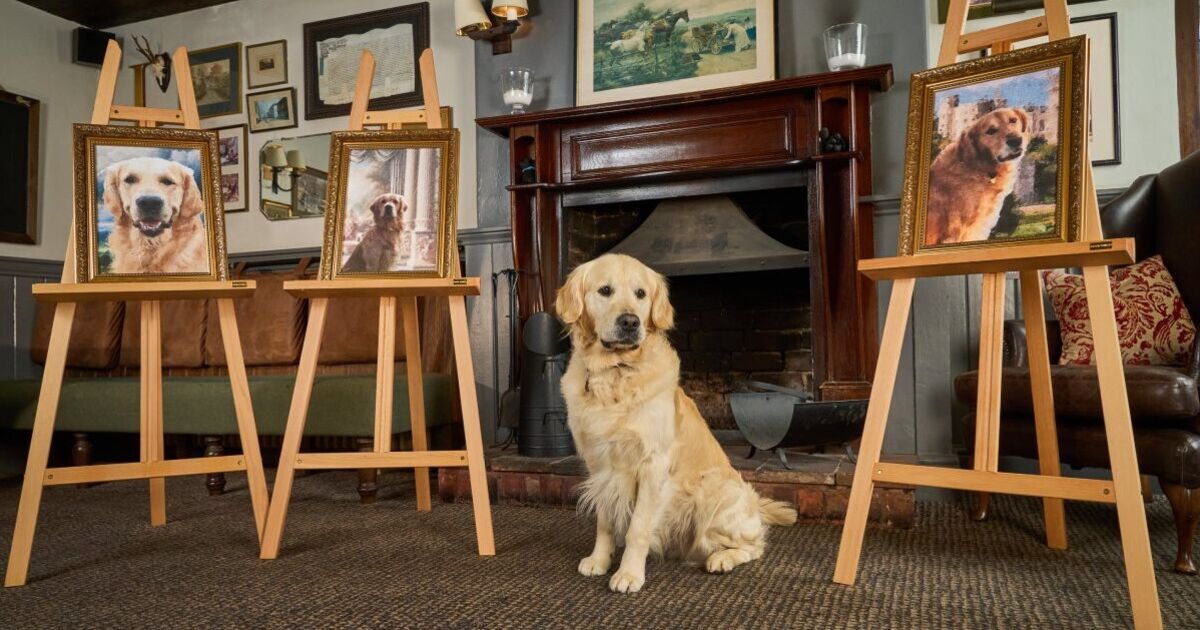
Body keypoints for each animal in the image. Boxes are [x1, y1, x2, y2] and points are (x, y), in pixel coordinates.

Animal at [554, 253, 796, 592]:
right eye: (605, 290)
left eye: (641, 294)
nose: (630, 322)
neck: (616, 373)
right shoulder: (599, 465)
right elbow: (605, 520)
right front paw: (599, 560)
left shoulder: (653, 464)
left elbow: (637, 528)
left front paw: (629, 574)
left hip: (710, 494)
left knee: (754, 546)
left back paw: (722, 559)